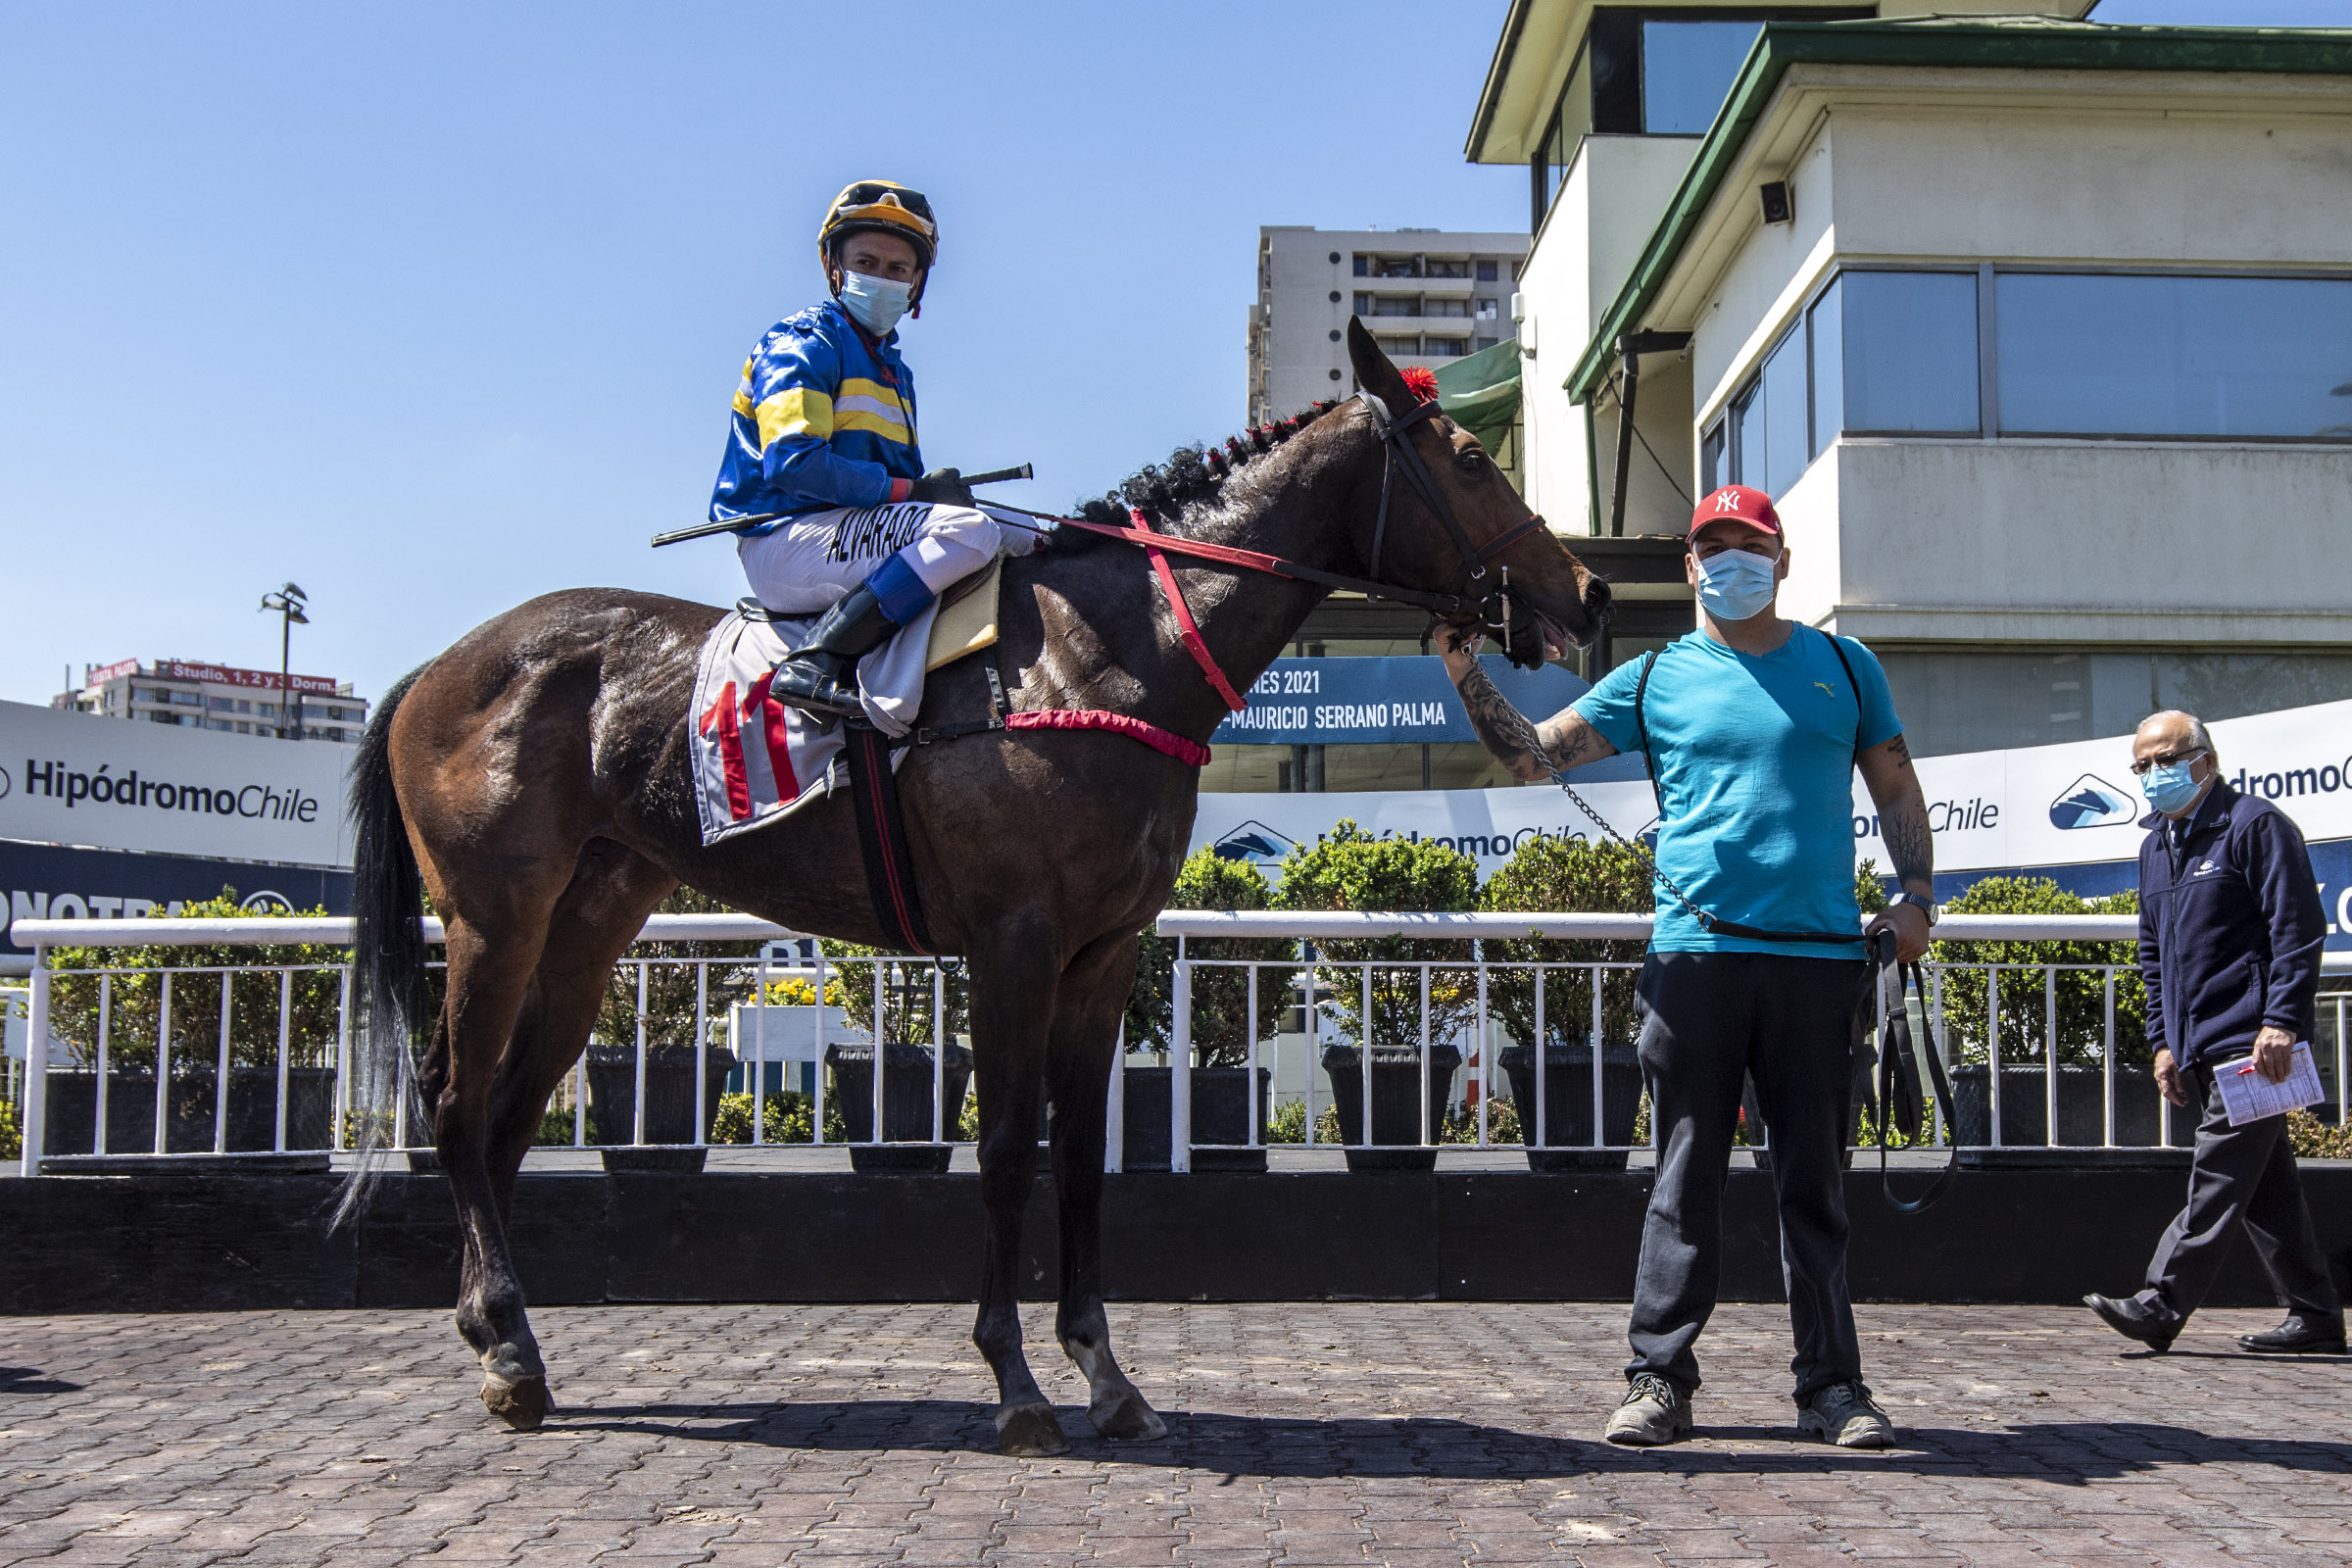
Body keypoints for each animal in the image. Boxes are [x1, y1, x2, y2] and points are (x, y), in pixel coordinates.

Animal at [341, 322, 1610, 1456]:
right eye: (1475, 459)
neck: (1107, 659)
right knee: (454, 1101)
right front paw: (1017, 1383)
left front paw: (1107, 1375)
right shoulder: (1014, 941)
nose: (1590, 591)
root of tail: (440, 664)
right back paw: (506, 1340)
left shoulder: (1104, 953)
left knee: (507, 1116)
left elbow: (1080, 1159)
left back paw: (506, 1342)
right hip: (494, 916)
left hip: (590, 923)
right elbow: (1003, 1150)